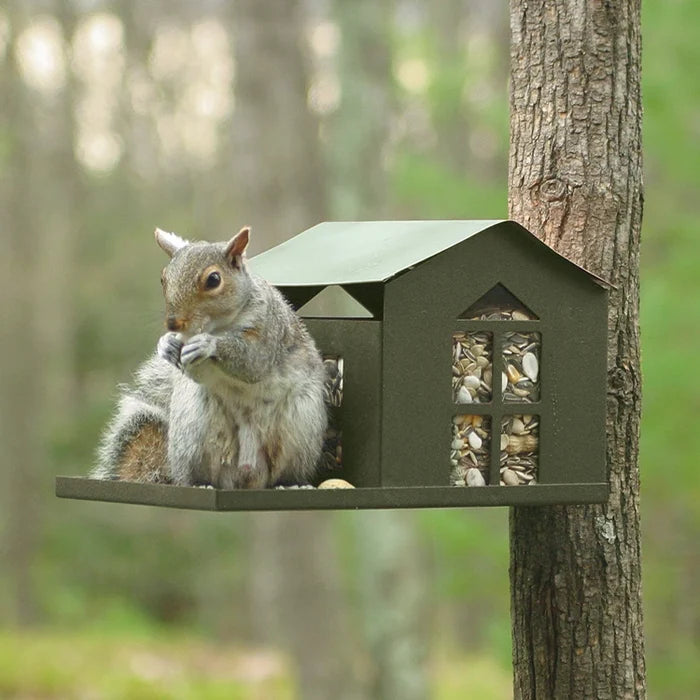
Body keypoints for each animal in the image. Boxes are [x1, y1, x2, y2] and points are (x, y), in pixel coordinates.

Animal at [91, 226, 328, 489]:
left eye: (214, 279)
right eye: (163, 278)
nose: (172, 323)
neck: (218, 326)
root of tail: (246, 475)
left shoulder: (269, 331)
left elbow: (253, 362)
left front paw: (208, 345)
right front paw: (166, 344)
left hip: (300, 425)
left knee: (285, 470)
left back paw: (290, 483)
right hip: (192, 432)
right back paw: (199, 483)